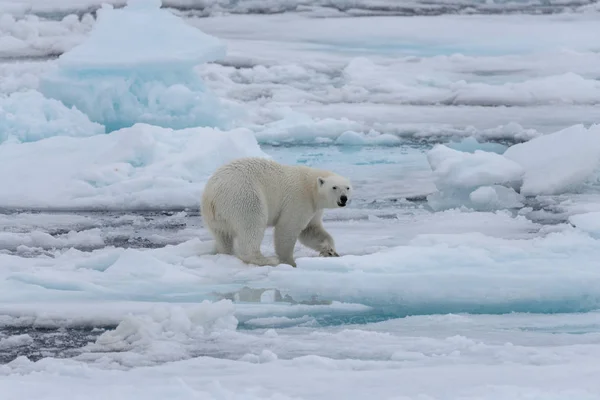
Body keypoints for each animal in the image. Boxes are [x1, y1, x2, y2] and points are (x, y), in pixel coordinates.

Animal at [200, 158, 352, 268]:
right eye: (334, 187)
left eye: (347, 187)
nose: (343, 198)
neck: (311, 186)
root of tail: (212, 194)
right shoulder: (298, 200)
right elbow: (287, 228)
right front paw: (290, 262)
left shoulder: (314, 209)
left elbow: (311, 230)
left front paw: (330, 250)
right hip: (244, 196)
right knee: (252, 225)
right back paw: (265, 260)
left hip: (215, 216)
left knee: (222, 235)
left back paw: (226, 252)